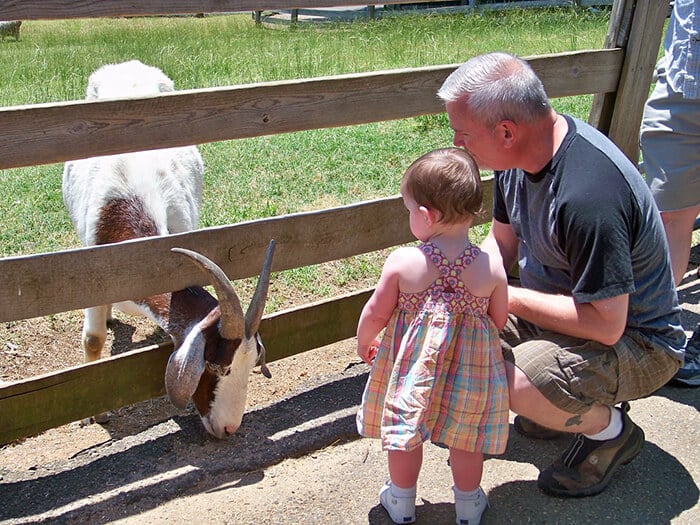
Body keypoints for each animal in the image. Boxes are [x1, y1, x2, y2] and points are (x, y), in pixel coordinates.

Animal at [62, 60, 274, 438]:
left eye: (251, 363)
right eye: (215, 366)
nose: (229, 428)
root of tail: (129, 65)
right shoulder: (91, 271)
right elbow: (93, 339)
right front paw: (95, 413)